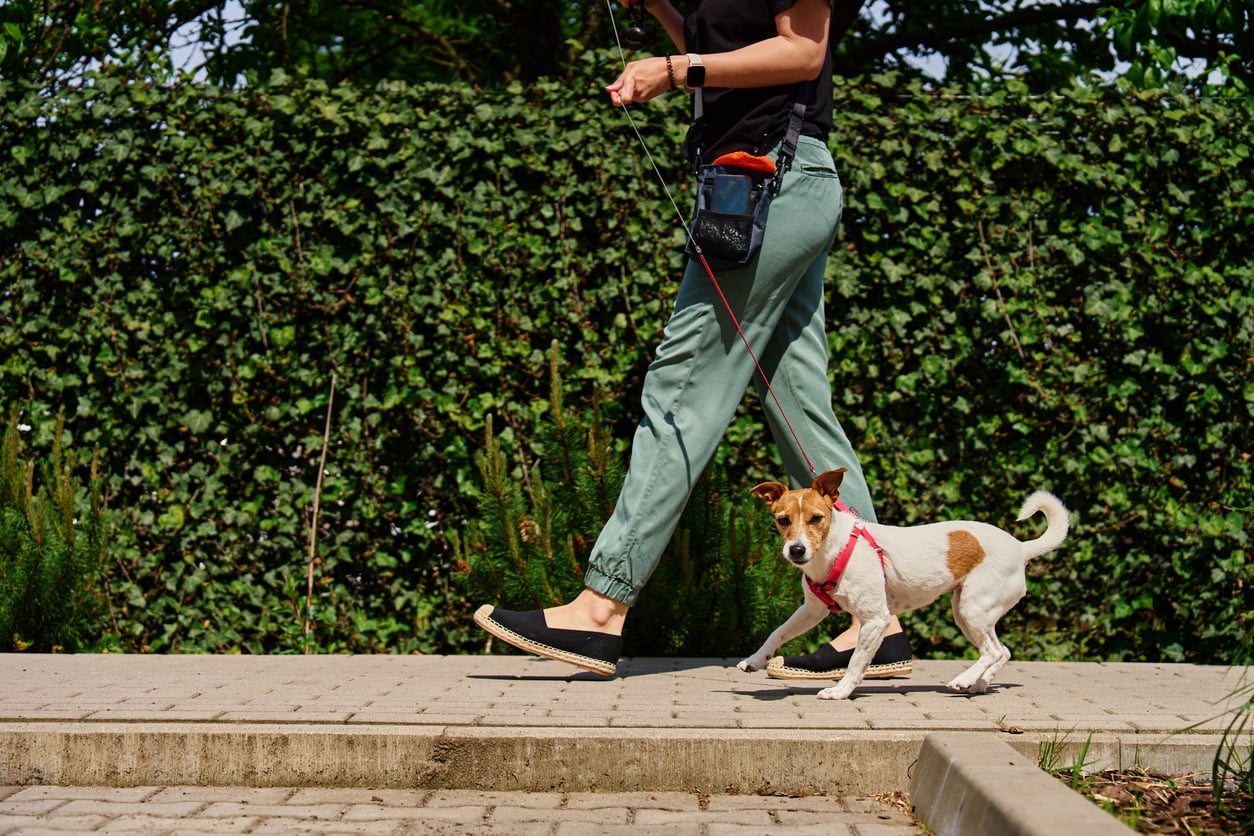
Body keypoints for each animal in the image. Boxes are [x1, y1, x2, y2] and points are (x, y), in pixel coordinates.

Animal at [737, 468, 1069, 699]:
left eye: (816, 519)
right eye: (783, 520)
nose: (796, 550)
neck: (834, 551)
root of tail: (1021, 548)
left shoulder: (875, 620)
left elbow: (857, 660)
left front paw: (841, 691)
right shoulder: (812, 610)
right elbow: (777, 632)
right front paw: (755, 659)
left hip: (973, 608)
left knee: (993, 652)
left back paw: (963, 680)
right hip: (967, 613)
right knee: (1004, 651)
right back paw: (979, 684)